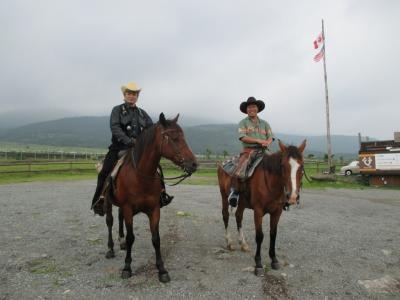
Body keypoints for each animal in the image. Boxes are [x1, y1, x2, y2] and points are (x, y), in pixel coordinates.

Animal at [103, 113, 197, 282]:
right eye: (174, 138)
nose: (193, 164)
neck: (140, 176)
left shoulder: (154, 210)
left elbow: (156, 239)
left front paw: (162, 269)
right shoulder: (128, 208)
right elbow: (131, 237)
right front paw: (127, 267)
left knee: (119, 219)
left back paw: (121, 242)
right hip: (108, 203)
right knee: (110, 221)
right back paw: (111, 248)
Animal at [217, 139, 304, 276]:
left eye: (302, 166)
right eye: (283, 166)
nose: (293, 197)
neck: (270, 183)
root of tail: (223, 163)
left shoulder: (277, 212)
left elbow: (273, 234)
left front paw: (274, 260)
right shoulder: (258, 211)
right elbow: (259, 236)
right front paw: (258, 264)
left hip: (242, 203)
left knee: (238, 217)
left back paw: (243, 244)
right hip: (224, 196)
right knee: (225, 216)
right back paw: (229, 242)